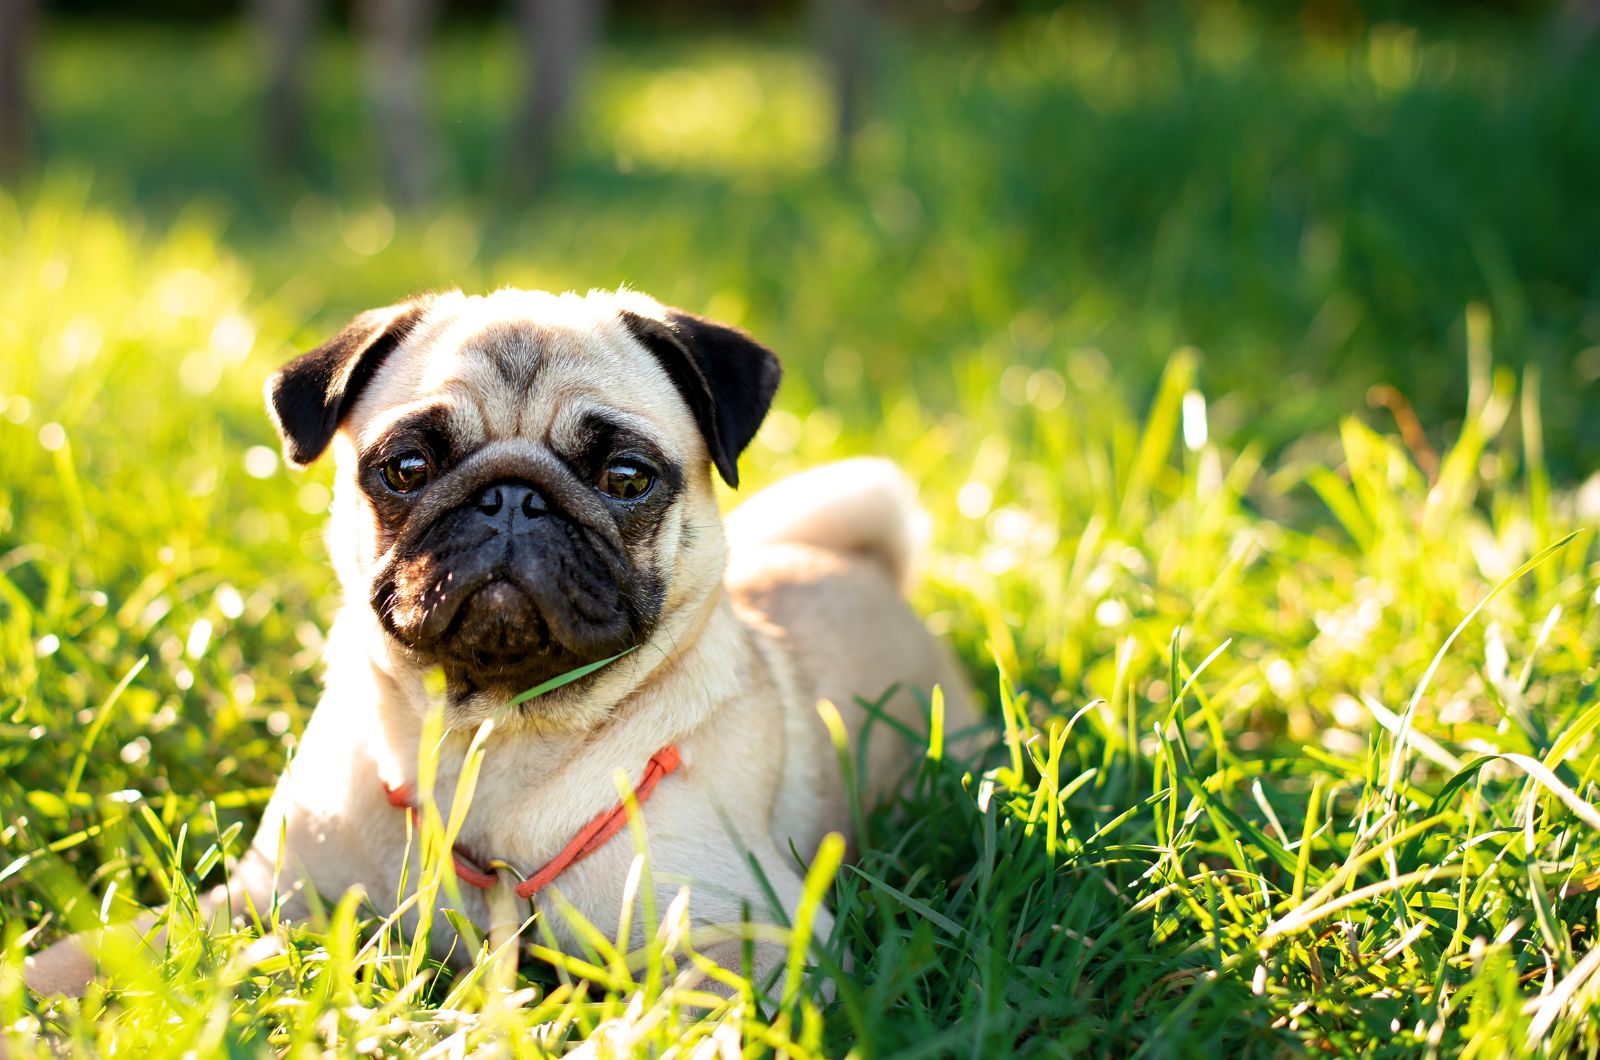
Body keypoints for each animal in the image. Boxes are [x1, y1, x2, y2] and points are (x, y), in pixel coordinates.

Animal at [21, 288, 972, 999]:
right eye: (406, 468)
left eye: (626, 477)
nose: (513, 496)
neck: (490, 736)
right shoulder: (265, 899)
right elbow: (102, 950)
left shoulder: (742, 939)